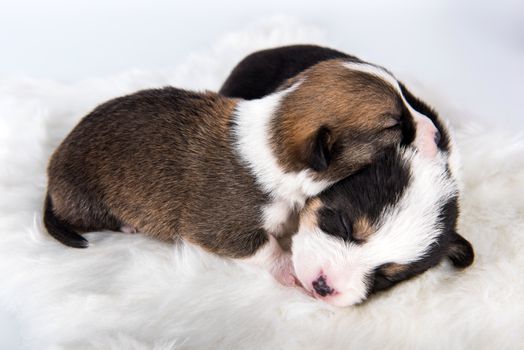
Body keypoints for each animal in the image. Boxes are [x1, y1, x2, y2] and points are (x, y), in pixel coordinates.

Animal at [44, 56, 438, 284]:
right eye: (394, 125)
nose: (437, 132)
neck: (272, 144)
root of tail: (51, 176)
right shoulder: (220, 225)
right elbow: (263, 248)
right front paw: (289, 269)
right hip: (86, 198)